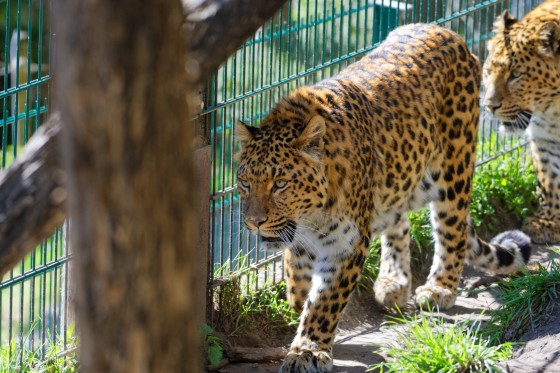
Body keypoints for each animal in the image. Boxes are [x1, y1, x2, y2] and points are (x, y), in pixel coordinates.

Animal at [235, 24, 528, 372]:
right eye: (244, 183)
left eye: (280, 183)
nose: (254, 222)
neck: (310, 218)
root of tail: (445, 31)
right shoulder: (302, 239)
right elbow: (298, 286)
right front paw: (306, 309)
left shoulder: (347, 244)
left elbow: (325, 301)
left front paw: (308, 350)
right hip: (400, 175)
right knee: (399, 219)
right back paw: (393, 282)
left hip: (452, 168)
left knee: (452, 229)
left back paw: (440, 287)